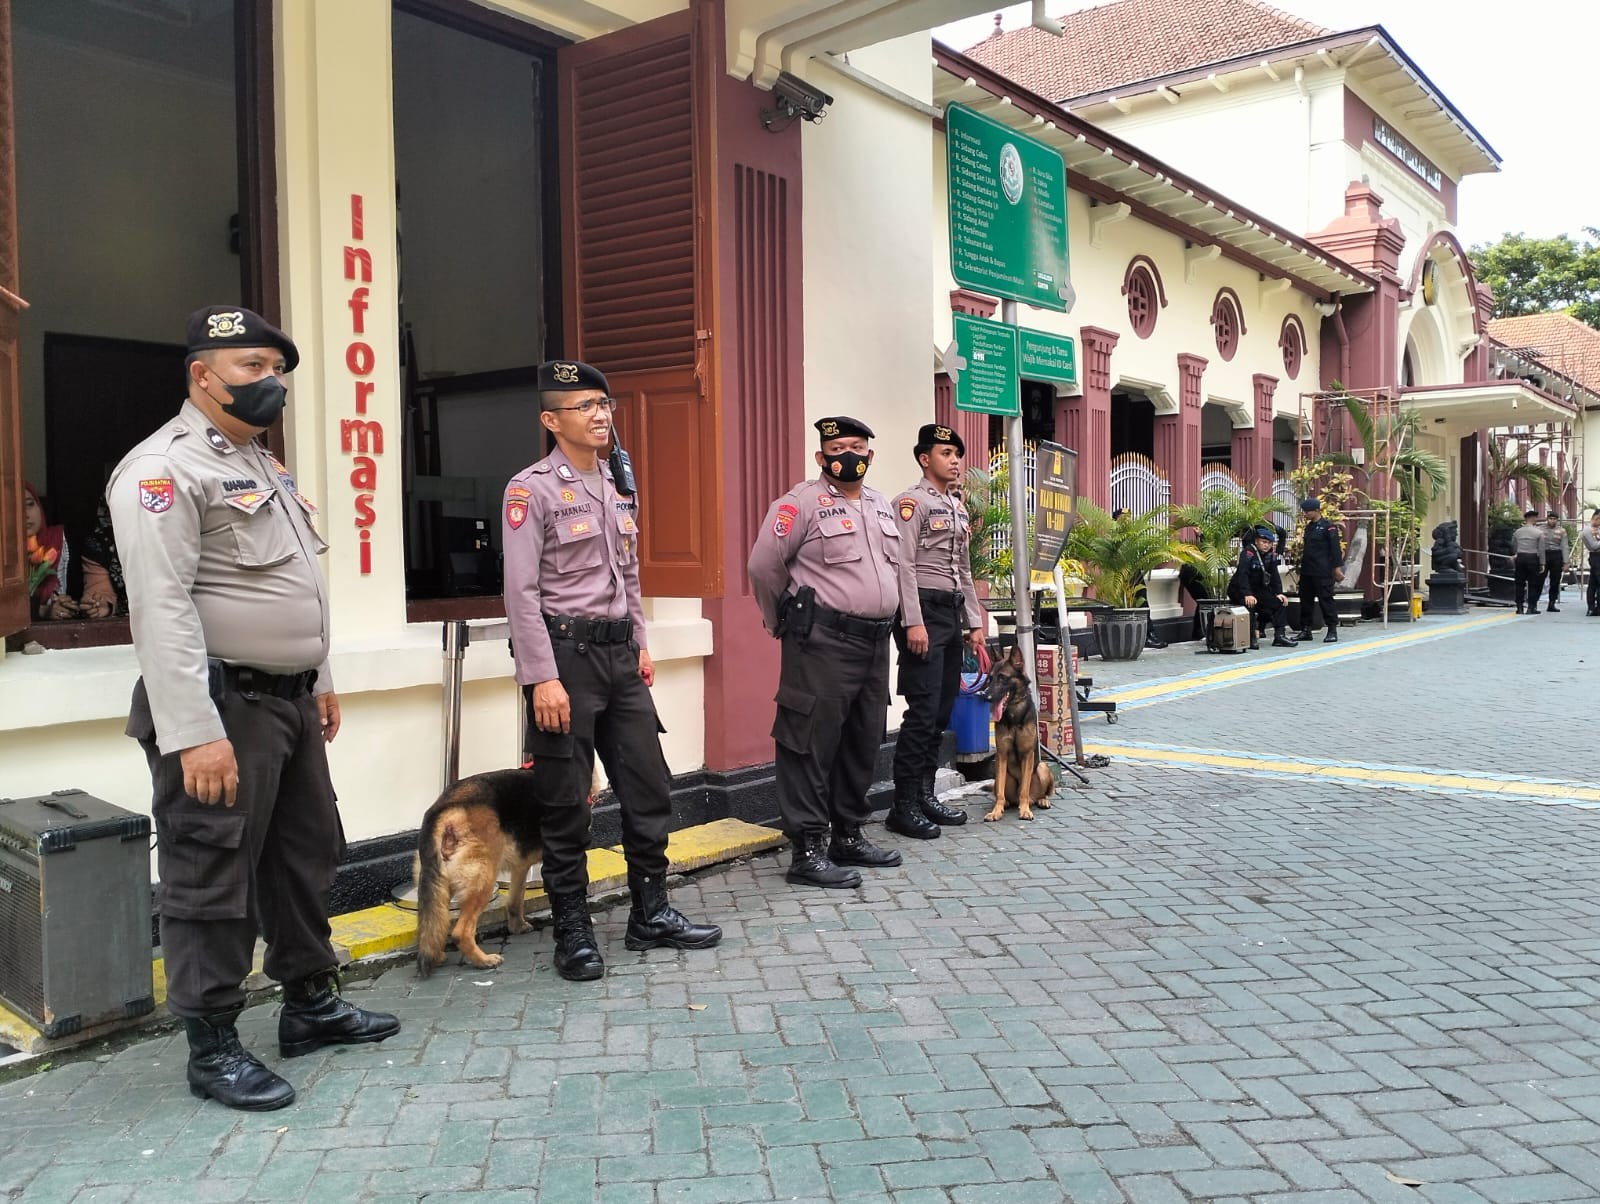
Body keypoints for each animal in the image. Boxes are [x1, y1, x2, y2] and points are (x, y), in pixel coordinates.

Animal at [412, 771, 544, 979]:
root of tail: (444, 808)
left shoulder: (520, 867)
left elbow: (515, 901)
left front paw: (517, 927)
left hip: (440, 885)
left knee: (433, 924)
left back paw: (436, 955)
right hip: (484, 879)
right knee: (461, 932)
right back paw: (483, 961)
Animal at [979, 643, 1056, 826]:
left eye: (1002, 678)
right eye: (990, 679)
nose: (985, 697)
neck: (1013, 715)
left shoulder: (1027, 755)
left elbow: (1024, 790)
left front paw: (1025, 810)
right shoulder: (1001, 754)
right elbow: (1000, 792)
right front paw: (996, 811)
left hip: (1042, 768)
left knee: (1039, 792)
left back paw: (1041, 800)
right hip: (1000, 775)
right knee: (1001, 791)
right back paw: (1006, 803)